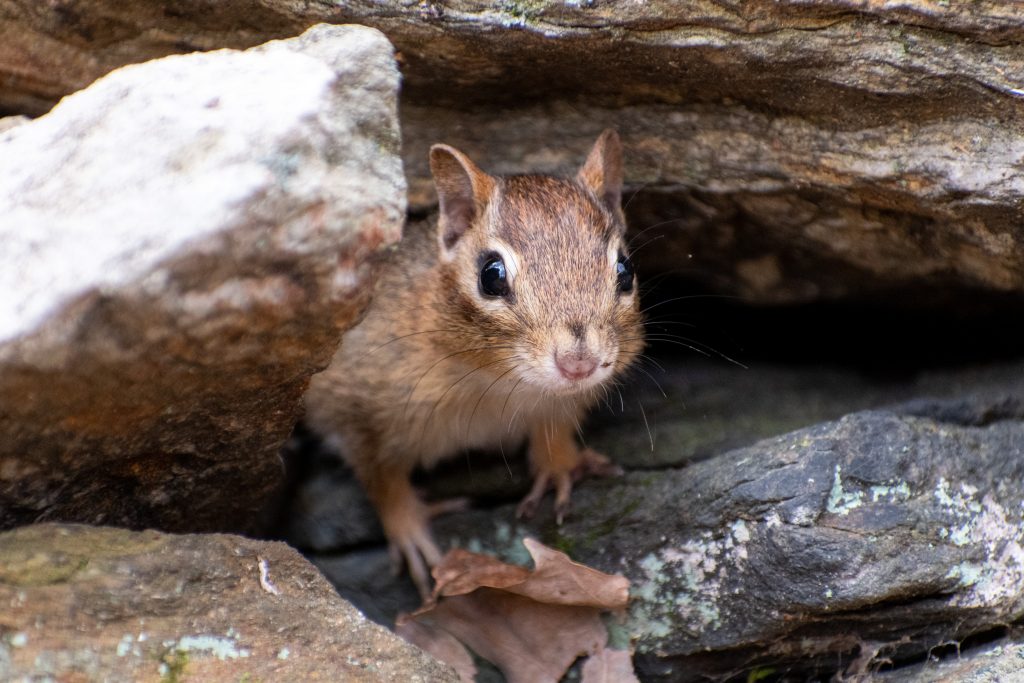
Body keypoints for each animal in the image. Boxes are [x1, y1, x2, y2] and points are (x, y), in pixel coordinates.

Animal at [303, 130, 644, 596]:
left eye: (625, 271)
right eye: (491, 275)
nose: (578, 364)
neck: (495, 381)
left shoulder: (559, 403)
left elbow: (554, 432)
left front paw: (559, 467)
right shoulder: (356, 410)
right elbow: (380, 477)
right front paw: (410, 530)